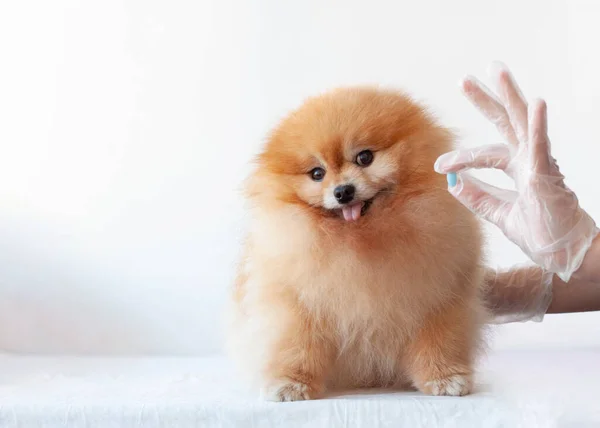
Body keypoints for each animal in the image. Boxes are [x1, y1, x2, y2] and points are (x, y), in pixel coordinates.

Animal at [227, 87, 486, 402]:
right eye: (317, 173)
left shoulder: (438, 299)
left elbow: (438, 341)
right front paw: (292, 384)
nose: (343, 191)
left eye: (364, 157)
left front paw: (444, 377)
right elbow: (297, 346)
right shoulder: (295, 305)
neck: (359, 240)